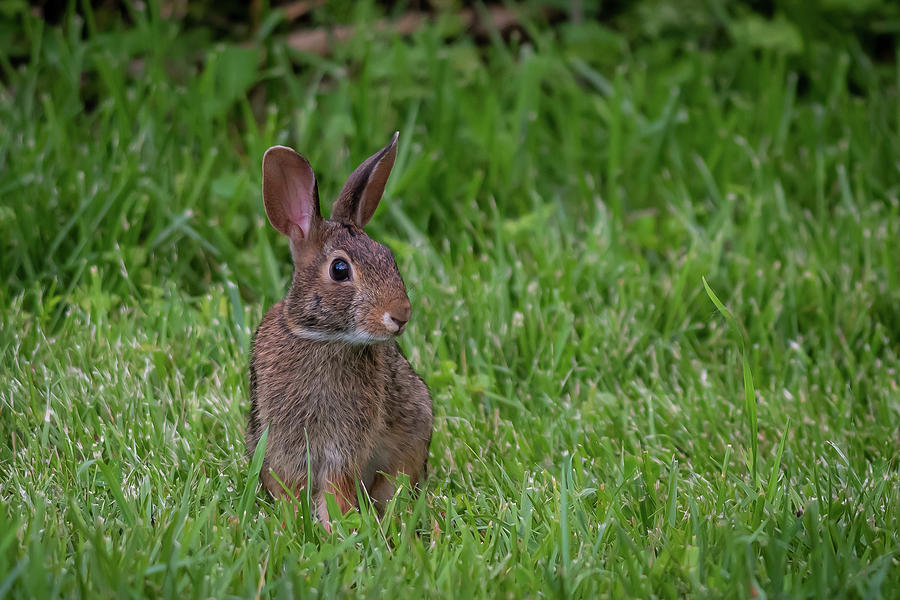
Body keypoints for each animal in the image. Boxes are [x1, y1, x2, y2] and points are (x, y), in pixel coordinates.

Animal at [243, 132, 432, 528]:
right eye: (340, 270)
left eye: (388, 257)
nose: (401, 315)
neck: (323, 338)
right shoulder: (283, 442)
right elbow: (291, 486)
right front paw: (292, 523)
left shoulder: (345, 444)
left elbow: (336, 485)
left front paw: (336, 525)